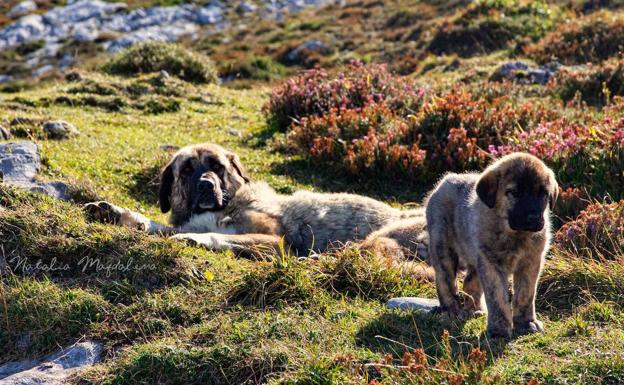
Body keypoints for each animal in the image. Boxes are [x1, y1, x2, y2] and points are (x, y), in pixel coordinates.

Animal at [85, 142, 428, 260]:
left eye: (217, 166)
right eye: (187, 170)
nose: (206, 185)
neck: (228, 204)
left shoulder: (274, 240)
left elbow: (215, 235)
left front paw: (195, 239)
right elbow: (154, 225)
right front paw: (112, 212)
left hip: (381, 237)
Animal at [426, 152, 560, 338]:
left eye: (543, 194)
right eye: (514, 193)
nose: (533, 218)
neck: (515, 234)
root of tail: (445, 180)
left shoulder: (531, 262)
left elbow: (525, 294)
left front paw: (526, 322)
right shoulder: (491, 264)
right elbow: (497, 297)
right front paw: (498, 330)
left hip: (475, 258)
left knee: (470, 281)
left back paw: (474, 309)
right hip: (443, 247)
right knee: (444, 280)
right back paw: (450, 310)